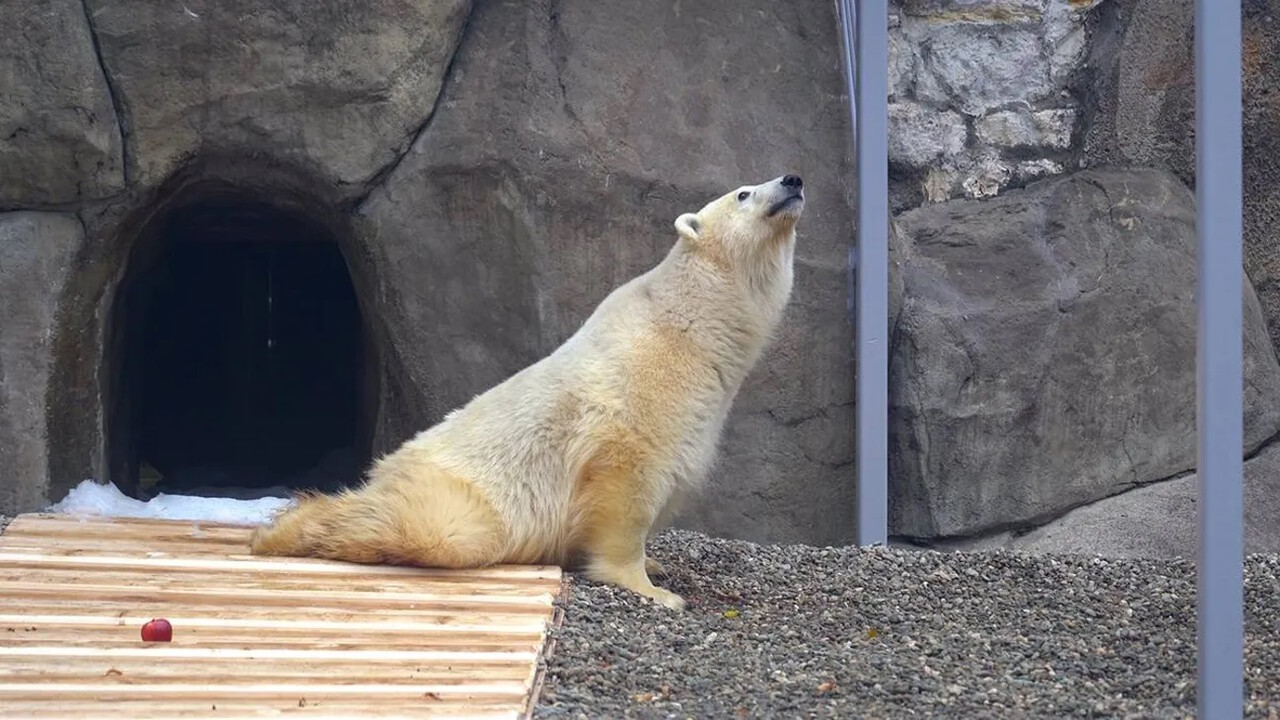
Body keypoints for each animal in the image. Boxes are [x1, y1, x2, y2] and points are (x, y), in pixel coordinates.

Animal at [248, 172, 803, 604]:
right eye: (744, 193)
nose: (793, 180)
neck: (688, 326)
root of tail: (389, 464)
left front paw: (657, 565)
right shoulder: (632, 398)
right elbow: (624, 484)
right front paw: (652, 588)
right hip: (472, 496)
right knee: (434, 528)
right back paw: (282, 530)